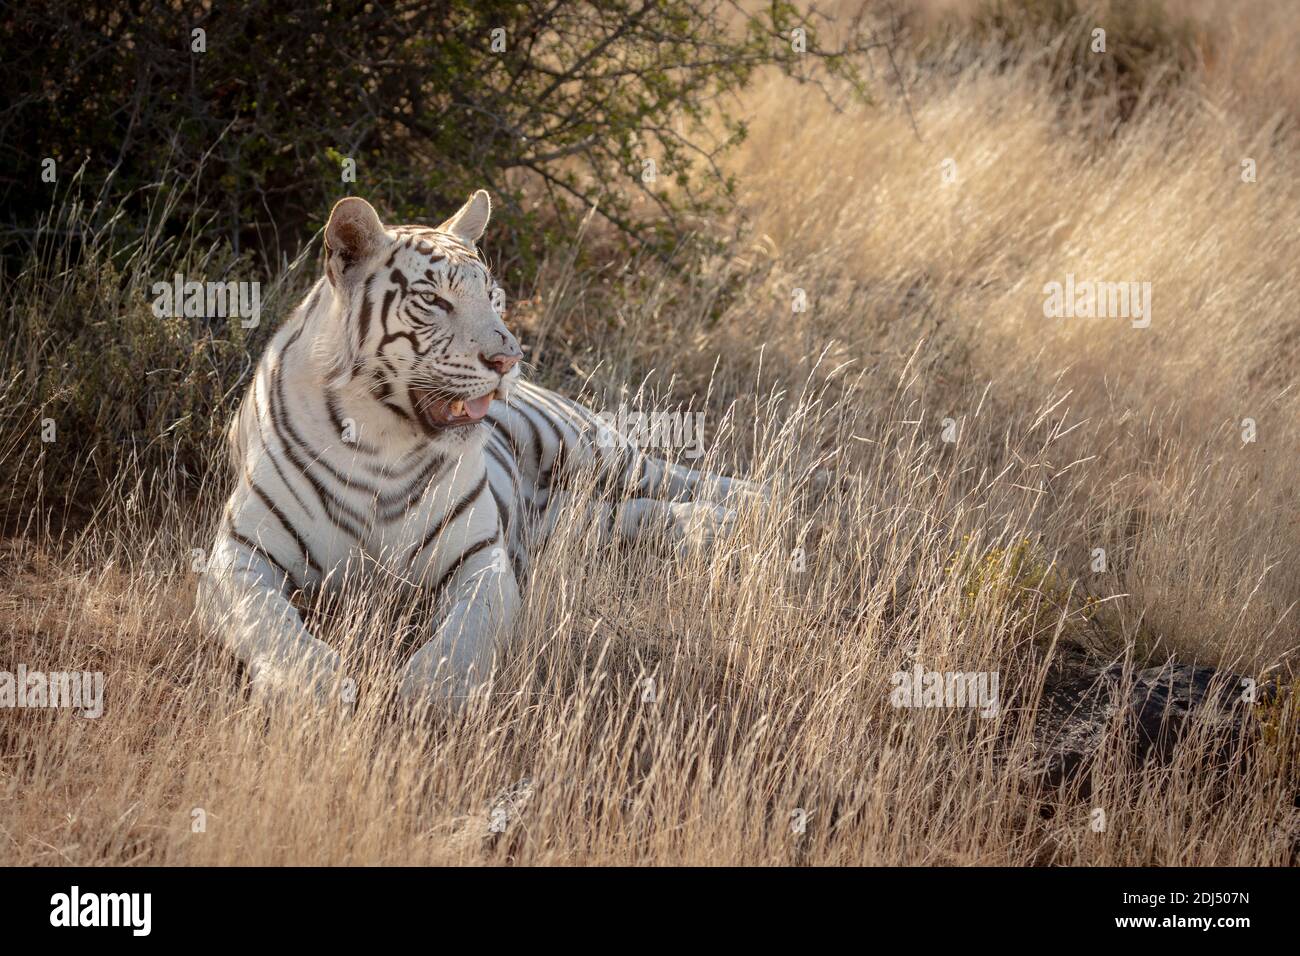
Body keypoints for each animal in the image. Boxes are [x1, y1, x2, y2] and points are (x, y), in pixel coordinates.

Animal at [197, 191, 763, 708]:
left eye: (494, 297)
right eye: (434, 301)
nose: (508, 359)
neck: (382, 440)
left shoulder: (480, 560)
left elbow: (466, 630)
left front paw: (434, 692)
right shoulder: (241, 553)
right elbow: (268, 622)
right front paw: (310, 687)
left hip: (585, 445)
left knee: (675, 474)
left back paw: (761, 503)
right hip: (562, 520)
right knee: (620, 515)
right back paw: (706, 527)